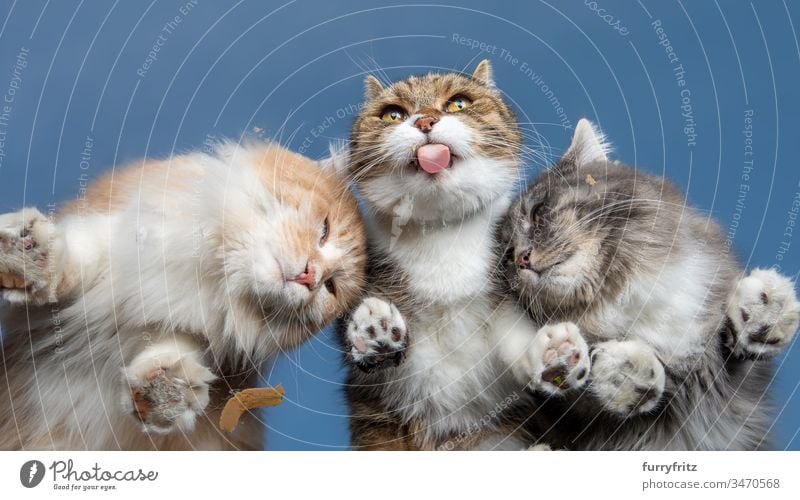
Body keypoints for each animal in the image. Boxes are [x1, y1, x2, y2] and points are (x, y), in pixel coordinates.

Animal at [0, 140, 368, 450]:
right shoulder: (120, 243)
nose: (310, 276)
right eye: (324, 230)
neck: (215, 281)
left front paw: (166, 391)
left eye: (330, 287)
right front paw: (29, 253)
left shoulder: (207, 342)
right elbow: (78, 257)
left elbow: (178, 349)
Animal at [336, 60, 592, 452]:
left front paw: (553, 355)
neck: (443, 235)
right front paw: (372, 332)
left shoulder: (505, 286)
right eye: (393, 113)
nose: (425, 121)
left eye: (458, 103)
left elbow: (513, 342)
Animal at [504, 119, 796, 452]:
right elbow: (583, 388)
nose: (522, 258)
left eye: (538, 213)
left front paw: (766, 307)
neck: (623, 293)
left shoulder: (734, 388)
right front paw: (623, 372)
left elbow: (737, 344)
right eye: (507, 257)